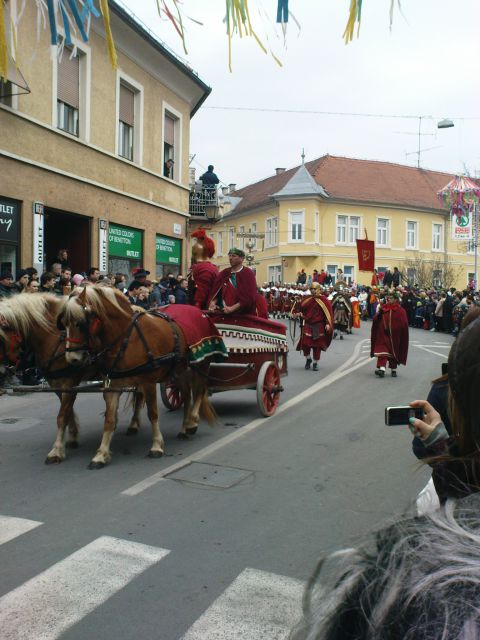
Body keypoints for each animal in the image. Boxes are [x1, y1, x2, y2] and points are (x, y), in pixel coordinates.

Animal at [0, 296, 145, 464]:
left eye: (0, 338)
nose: (3, 371)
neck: (54, 337)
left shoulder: (69, 383)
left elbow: (62, 416)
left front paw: (56, 450)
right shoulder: (57, 385)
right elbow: (67, 412)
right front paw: (73, 437)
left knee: (139, 394)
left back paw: (133, 424)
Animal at [61, 288, 217, 468]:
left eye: (80, 323)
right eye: (63, 323)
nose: (72, 359)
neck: (126, 339)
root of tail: (198, 311)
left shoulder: (148, 382)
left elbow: (153, 413)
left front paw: (156, 446)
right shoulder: (112, 386)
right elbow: (109, 419)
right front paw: (101, 454)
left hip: (202, 363)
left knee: (200, 390)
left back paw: (192, 421)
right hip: (179, 371)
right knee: (185, 395)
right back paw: (184, 428)